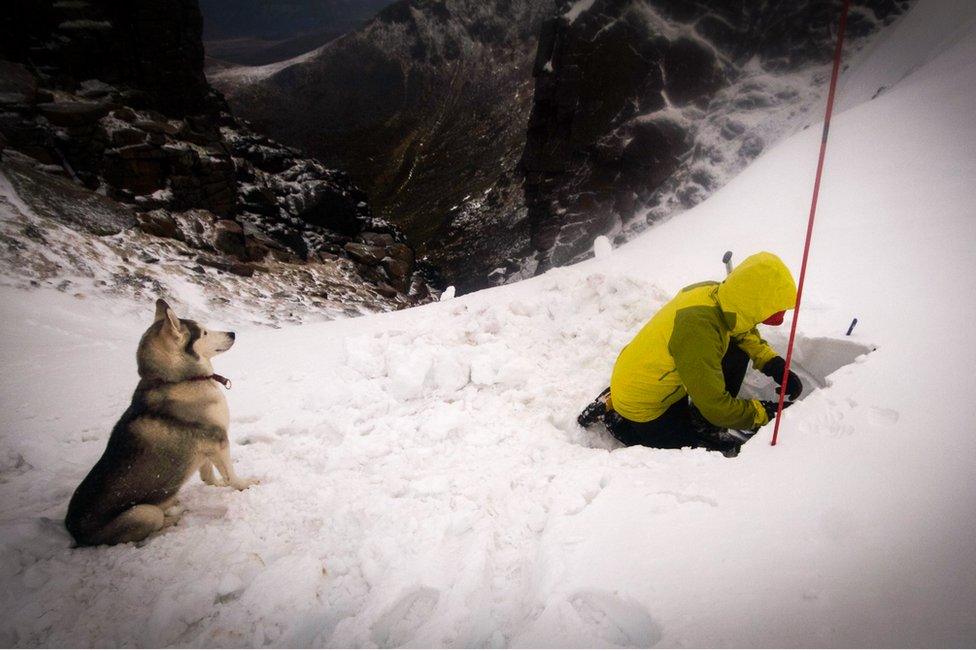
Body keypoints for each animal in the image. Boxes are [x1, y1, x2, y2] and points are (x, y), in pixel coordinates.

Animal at [65, 298, 255, 540]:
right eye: (204, 332)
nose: (232, 333)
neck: (177, 380)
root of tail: (73, 530)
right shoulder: (218, 439)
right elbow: (231, 474)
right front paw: (245, 484)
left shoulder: (206, 446)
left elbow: (208, 475)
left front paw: (217, 484)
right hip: (144, 513)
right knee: (152, 524)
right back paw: (175, 517)